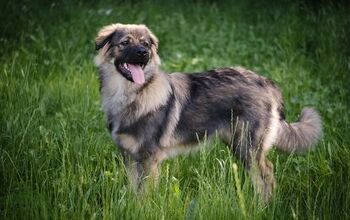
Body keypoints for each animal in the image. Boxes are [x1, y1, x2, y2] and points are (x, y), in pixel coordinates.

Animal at [93, 23, 322, 201]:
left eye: (146, 43)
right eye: (125, 42)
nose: (143, 53)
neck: (132, 94)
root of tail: (266, 82)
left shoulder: (148, 157)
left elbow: (144, 195)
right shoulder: (129, 156)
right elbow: (133, 191)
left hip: (247, 147)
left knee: (266, 175)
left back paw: (262, 206)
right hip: (237, 144)